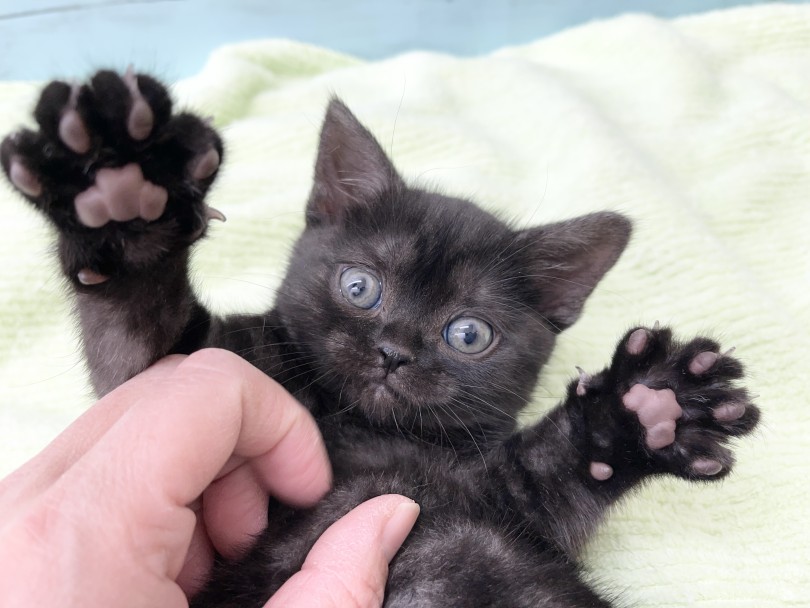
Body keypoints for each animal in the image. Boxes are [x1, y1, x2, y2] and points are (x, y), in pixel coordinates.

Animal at [0, 72, 756, 608]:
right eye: (360, 287)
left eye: (468, 333)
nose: (394, 351)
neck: (365, 430)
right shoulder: (177, 367)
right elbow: (138, 331)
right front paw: (120, 190)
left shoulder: (513, 505)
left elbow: (556, 472)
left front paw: (643, 407)